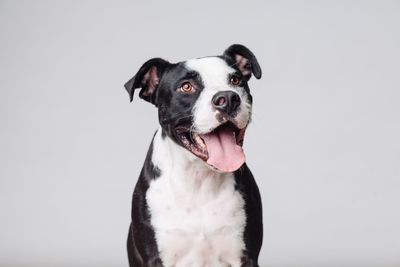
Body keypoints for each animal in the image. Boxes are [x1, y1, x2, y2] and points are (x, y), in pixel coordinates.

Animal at [124, 45, 262, 266]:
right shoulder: (154, 259)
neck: (198, 179)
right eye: (186, 87)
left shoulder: (246, 257)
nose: (228, 99)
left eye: (235, 80)